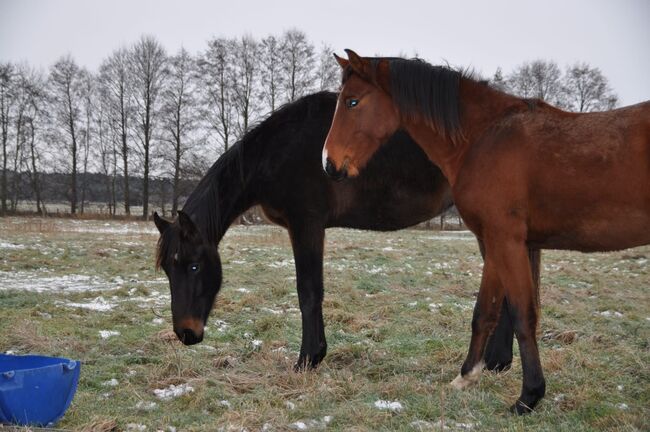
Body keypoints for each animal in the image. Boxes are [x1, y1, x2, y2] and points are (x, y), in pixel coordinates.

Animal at [154, 92, 540, 372]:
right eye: (168, 269)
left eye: (193, 265)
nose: (186, 333)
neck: (279, 150)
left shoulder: (307, 225)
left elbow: (309, 291)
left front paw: (308, 359)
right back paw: (499, 362)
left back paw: (496, 362)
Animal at [320, 49, 648, 414]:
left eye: (352, 101)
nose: (329, 163)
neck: (484, 138)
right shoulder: (493, 242)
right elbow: (485, 312)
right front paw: (466, 376)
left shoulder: (507, 241)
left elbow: (522, 315)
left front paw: (529, 397)